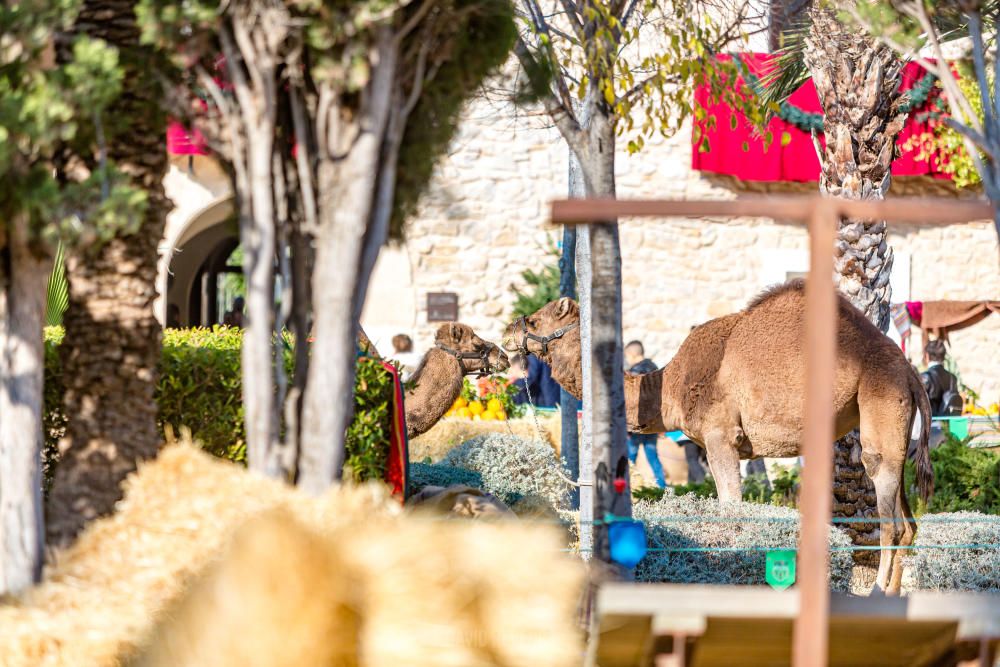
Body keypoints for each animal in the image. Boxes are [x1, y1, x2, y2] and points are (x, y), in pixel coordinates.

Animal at [504, 282, 932, 596]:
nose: (507, 333)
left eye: (535, 319)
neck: (669, 385)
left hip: (880, 403)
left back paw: (876, 591)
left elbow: (730, 506)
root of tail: (911, 373)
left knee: (890, 517)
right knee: (909, 520)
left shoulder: (719, 435)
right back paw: (893, 596)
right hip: (895, 426)